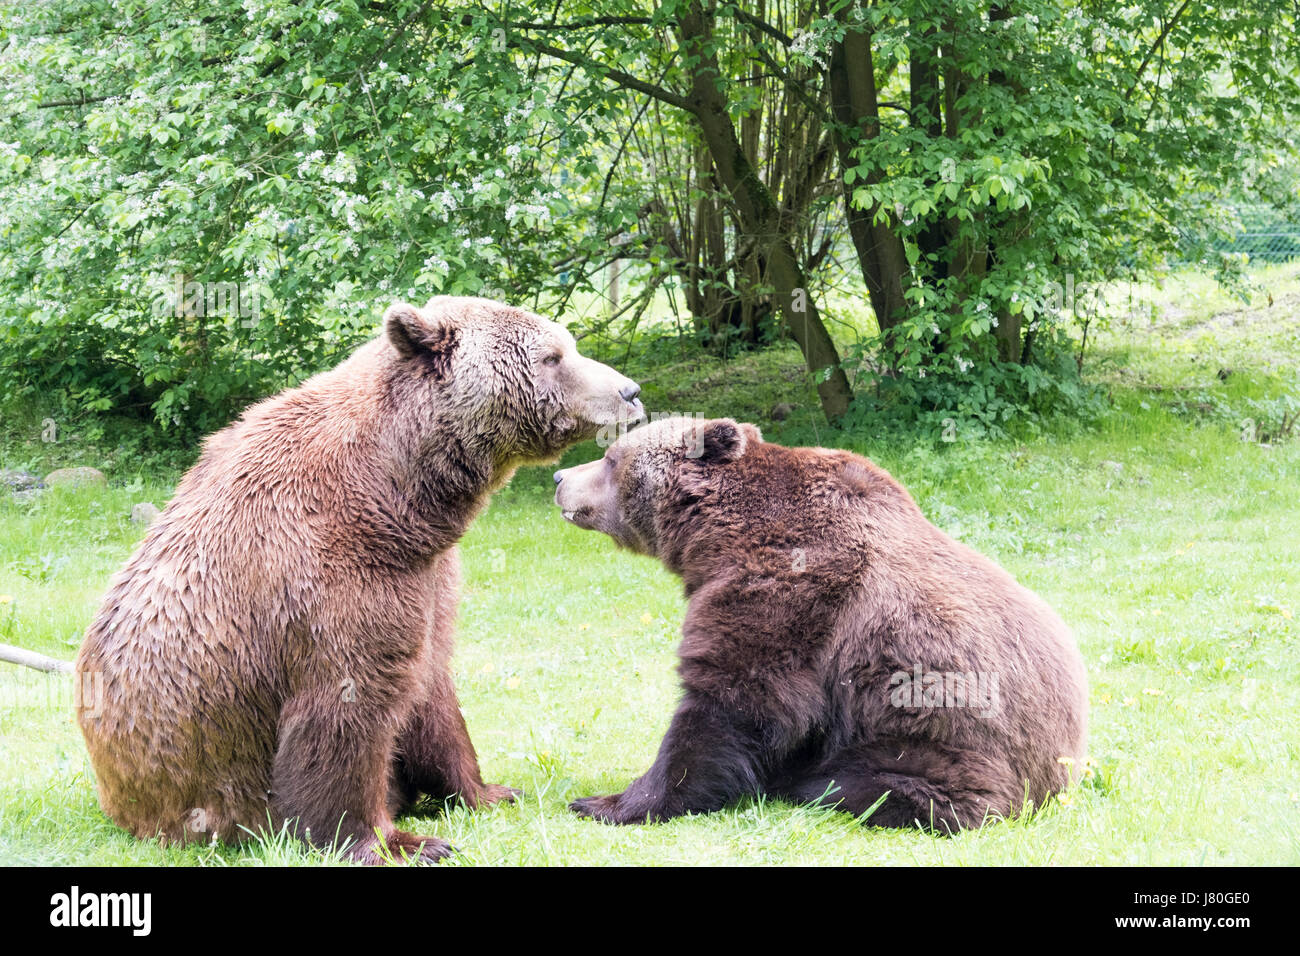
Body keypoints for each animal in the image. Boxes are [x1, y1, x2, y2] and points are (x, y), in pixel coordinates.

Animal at [73, 295, 642, 863]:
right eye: (552, 356)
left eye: (565, 344)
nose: (630, 392)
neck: (397, 494)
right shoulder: (330, 575)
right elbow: (347, 709)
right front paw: (399, 840)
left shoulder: (429, 576)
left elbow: (432, 687)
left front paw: (490, 791)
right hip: (192, 784)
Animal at [553, 416, 1092, 832]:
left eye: (610, 459)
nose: (559, 477)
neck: (712, 539)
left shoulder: (791, 590)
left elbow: (735, 700)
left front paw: (609, 802)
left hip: (936, 727)